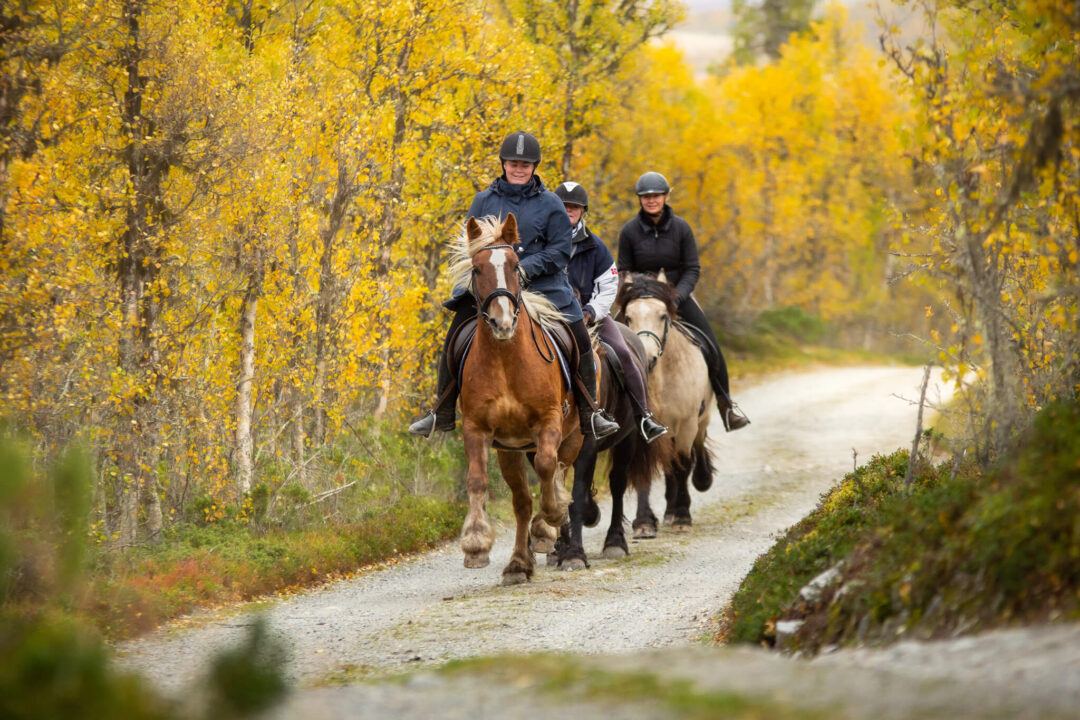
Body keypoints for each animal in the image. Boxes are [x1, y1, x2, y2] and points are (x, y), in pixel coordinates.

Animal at [451, 214, 582, 585]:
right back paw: (518, 564)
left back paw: (547, 530)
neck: (506, 360)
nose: (503, 322)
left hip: (574, 436)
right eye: (477, 269)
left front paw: (552, 517)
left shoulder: (549, 422)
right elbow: (477, 480)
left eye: (514, 264)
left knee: (560, 469)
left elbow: (548, 467)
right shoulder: (478, 429)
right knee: (522, 502)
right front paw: (476, 544)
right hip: (510, 450)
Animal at [555, 321, 673, 570]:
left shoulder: (588, 444)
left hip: (627, 439)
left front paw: (574, 554)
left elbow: (577, 494)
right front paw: (559, 549)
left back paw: (615, 542)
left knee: (617, 483)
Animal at [615, 273, 715, 533]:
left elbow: (683, 464)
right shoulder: (642, 429)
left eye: (663, 316)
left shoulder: (687, 423)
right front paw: (644, 522)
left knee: (696, 447)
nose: (646, 356)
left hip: (701, 417)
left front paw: (682, 517)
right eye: (628, 316)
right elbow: (645, 471)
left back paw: (701, 481)